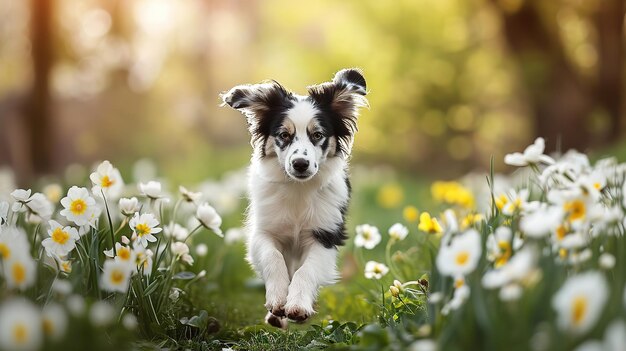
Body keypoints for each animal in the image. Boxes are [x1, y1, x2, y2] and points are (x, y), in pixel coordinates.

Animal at [219, 68, 366, 328]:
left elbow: (306, 270)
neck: (299, 189)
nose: (300, 164)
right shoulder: (264, 231)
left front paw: (297, 305)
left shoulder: (326, 235)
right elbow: (273, 257)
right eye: (283, 135)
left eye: (317, 134)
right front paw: (278, 300)